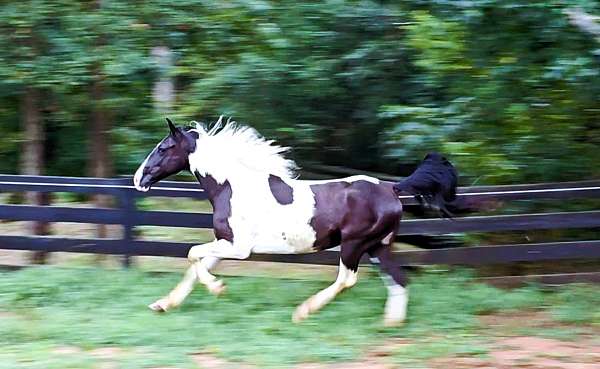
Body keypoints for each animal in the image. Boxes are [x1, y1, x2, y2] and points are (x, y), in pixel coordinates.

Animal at [134, 117, 458, 324]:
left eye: (163, 148)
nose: (139, 179)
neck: (231, 186)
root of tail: (391, 188)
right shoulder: (225, 242)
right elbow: (195, 266)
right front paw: (162, 304)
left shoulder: (238, 247)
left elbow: (192, 254)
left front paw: (218, 288)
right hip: (378, 246)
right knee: (399, 280)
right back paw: (390, 325)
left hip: (354, 244)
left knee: (347, 279)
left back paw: (303, 312)